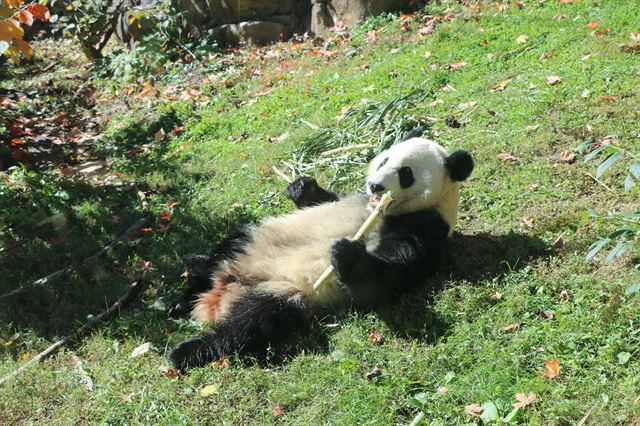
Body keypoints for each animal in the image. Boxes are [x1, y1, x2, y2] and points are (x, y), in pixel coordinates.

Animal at [168, 137, 472, 370]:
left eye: (406, 174)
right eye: (384, 160)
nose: (375, 186)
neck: (380, 210)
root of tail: (224, 292)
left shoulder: (423, 228)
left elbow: (388, 276)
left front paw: (346, 254)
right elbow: (322, 200)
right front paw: (301, 186)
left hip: (282, 293)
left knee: (250, 325)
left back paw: (187, 351)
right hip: (253, 244)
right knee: (223, 251)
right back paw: (182, 300)